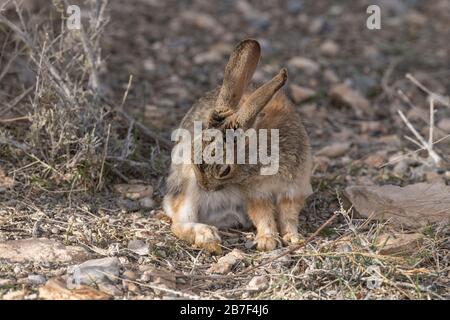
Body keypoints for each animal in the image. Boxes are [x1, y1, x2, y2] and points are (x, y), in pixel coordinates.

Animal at [163, 38, 312, 254]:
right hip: (187, 185)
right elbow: (263, 215)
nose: (205, 187)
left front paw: (294, 238)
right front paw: (267, 241)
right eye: (193, 155)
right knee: (178, 222)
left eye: (225, 170)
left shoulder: (293, 189)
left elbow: (289, 216)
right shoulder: (256, 192)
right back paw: (207, 237)